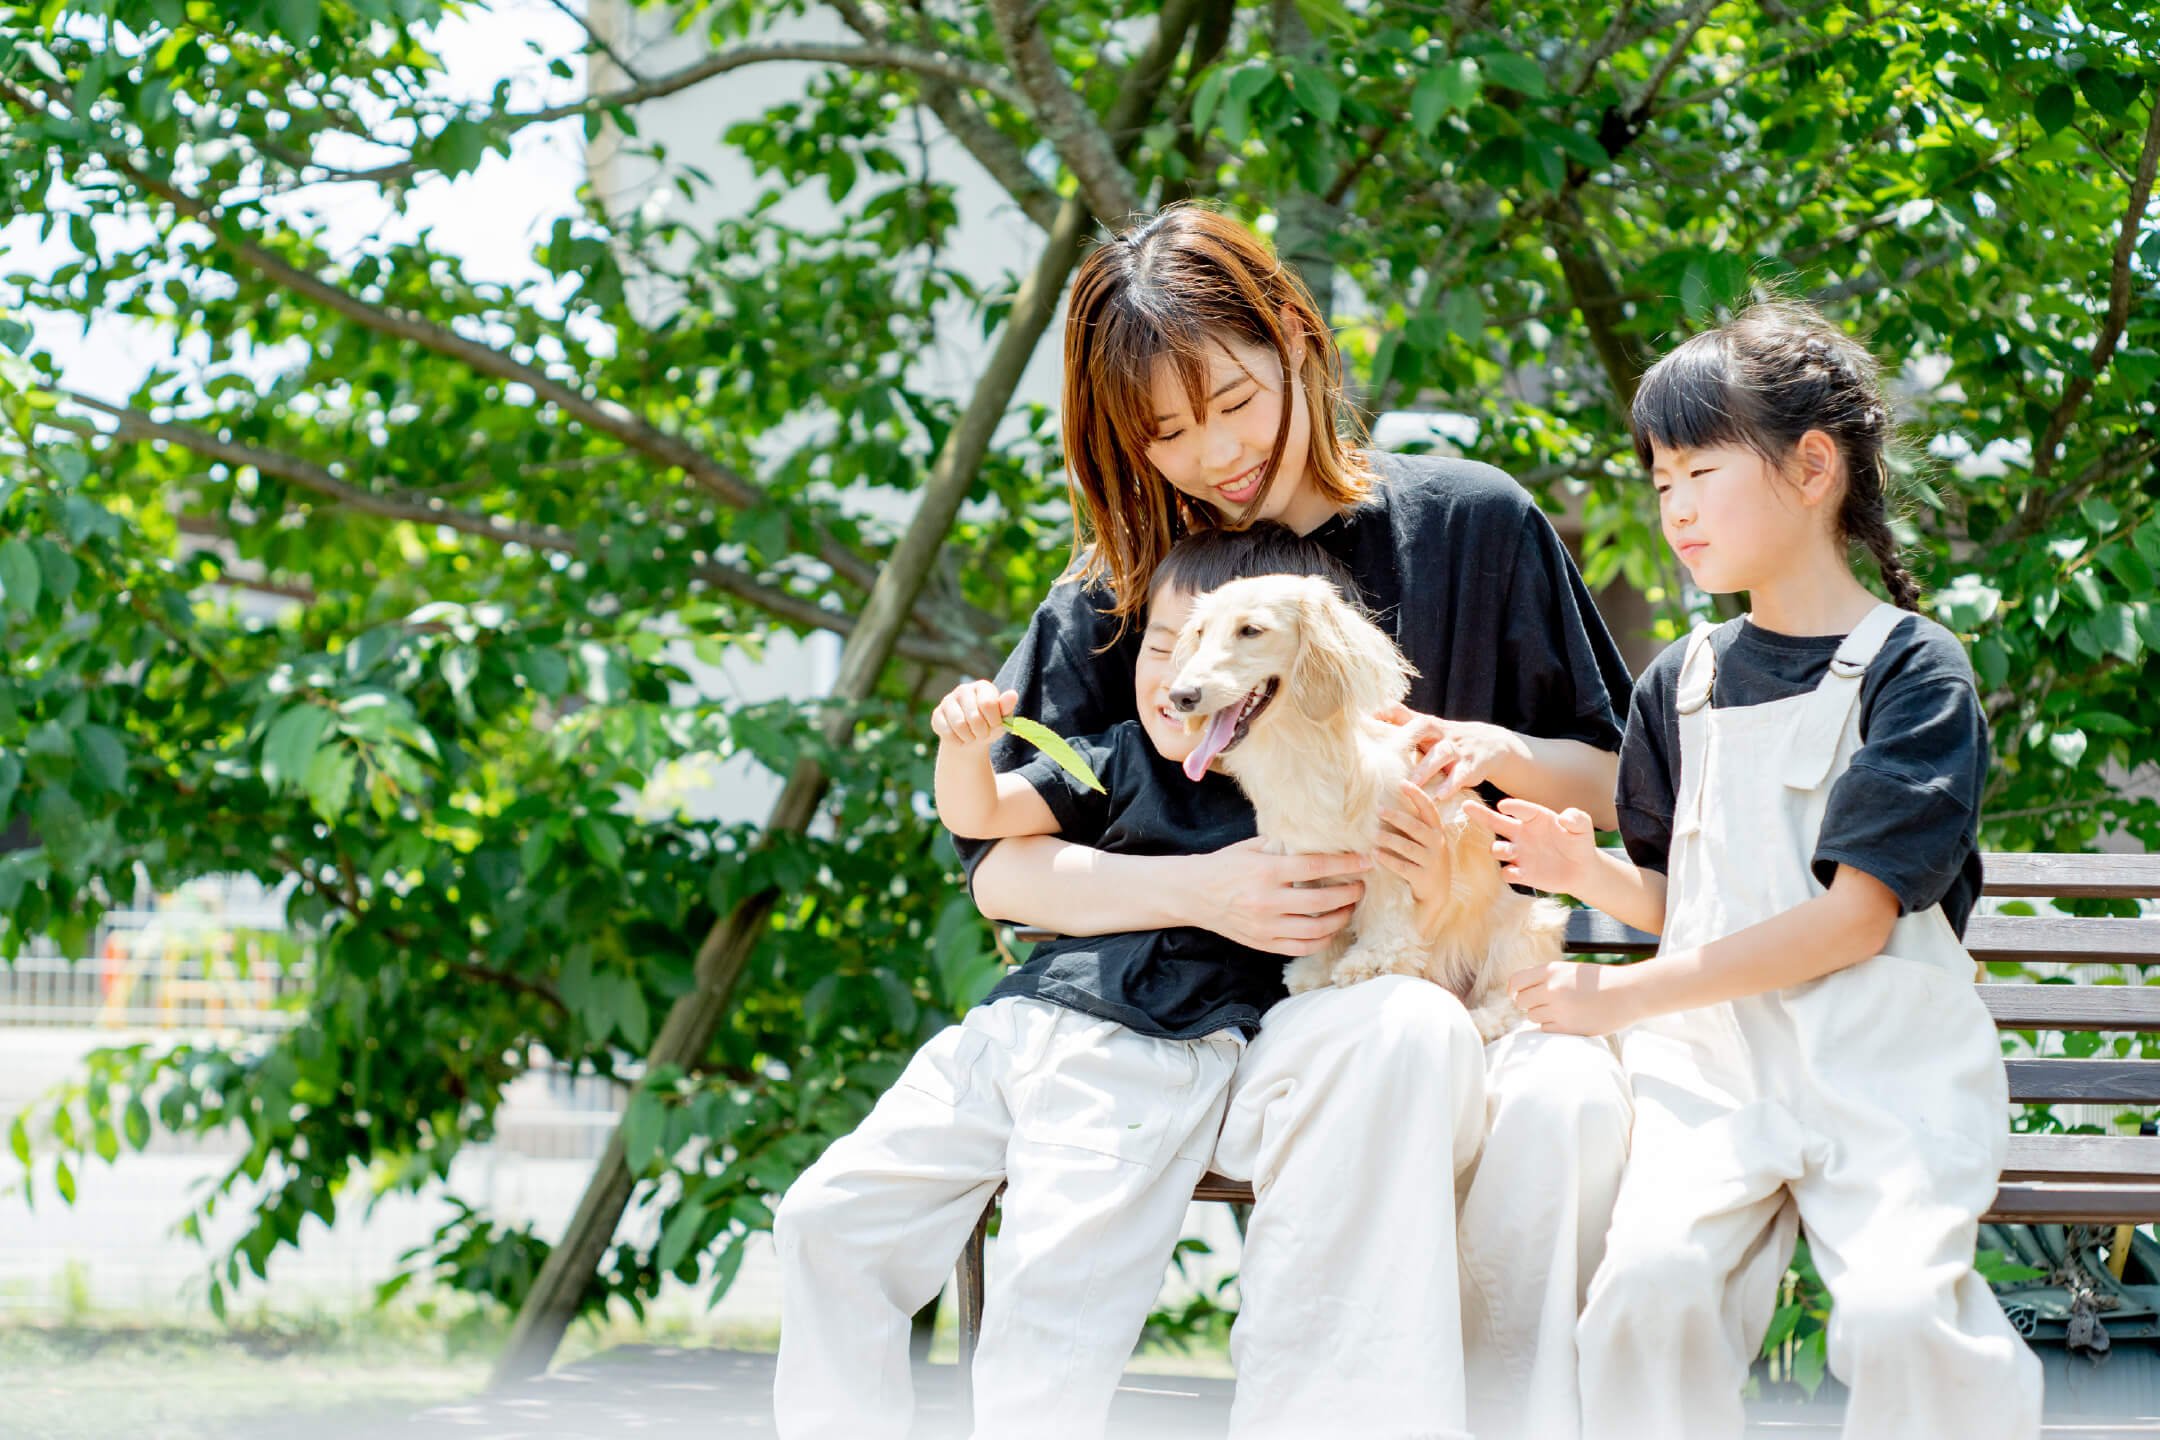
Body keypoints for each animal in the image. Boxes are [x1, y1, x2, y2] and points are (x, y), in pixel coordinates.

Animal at [1175, 569, 1563, 1036]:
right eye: (1200, 632)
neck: (1301, 754)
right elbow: (1320, 923)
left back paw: (1483, 1018)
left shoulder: (1392, 856)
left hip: (1526, 927)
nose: (1180, 697)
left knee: (1513, 996)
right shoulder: (1305, 863)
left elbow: (1386, 911)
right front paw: (1316, 969)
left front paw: (1372, 962)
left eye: (1250, 630)